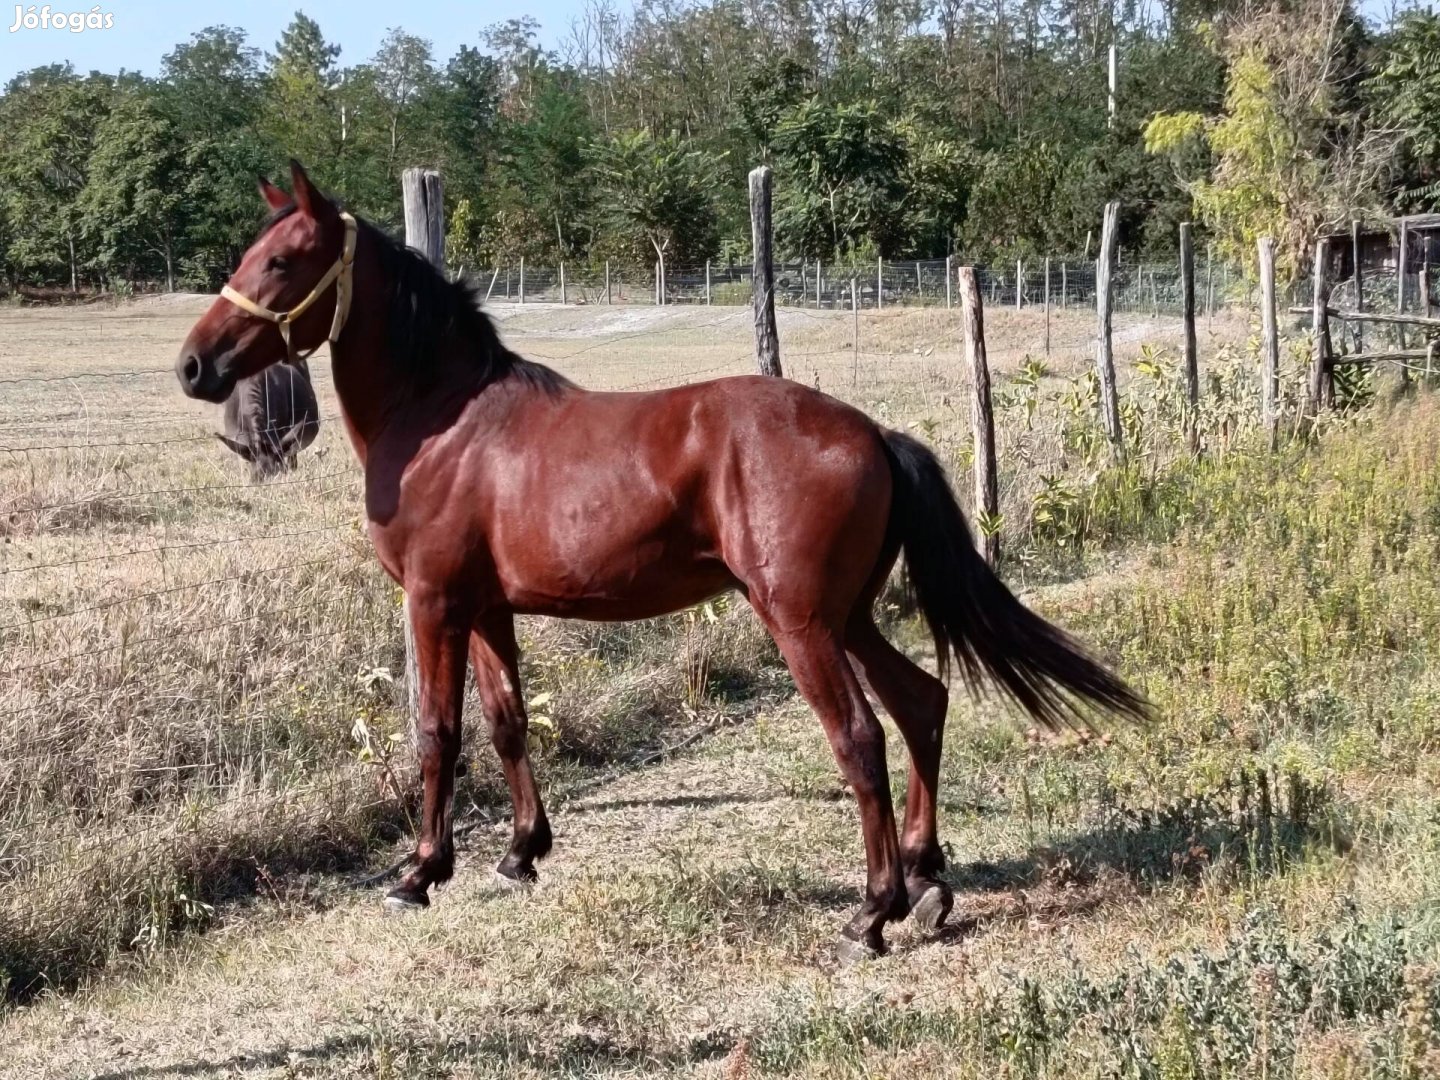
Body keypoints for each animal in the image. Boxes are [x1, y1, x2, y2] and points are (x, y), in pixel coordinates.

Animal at [177, 162, 1146, 961]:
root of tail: (871, 431)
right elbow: (507, 723)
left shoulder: (435, 602)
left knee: (862, 738)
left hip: (801, 623)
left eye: (283, 261)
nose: (193, 366)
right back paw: (928, 879)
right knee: (923, 705)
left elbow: (436, 734)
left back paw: (874, 913)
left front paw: (419, 873)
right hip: (850, 617)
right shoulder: (488, 608)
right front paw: (520, 853)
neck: (444, 420)